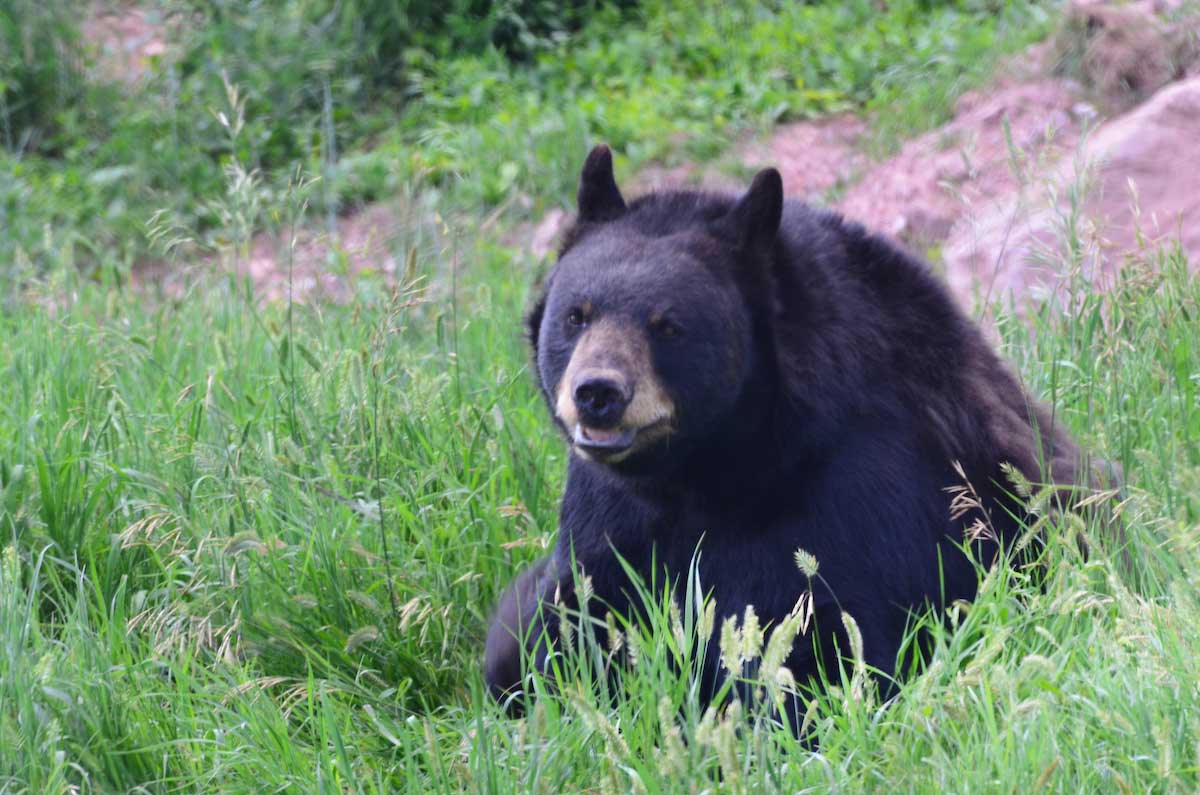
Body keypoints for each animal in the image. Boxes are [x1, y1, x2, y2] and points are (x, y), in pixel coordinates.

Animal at [484, 144, 1106, 721]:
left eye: (668, 326)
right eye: (576, 314)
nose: (598, 393)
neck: (708, 467)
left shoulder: (855, 486)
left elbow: (825, 642)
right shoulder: (606, 510)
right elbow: (561, 624)